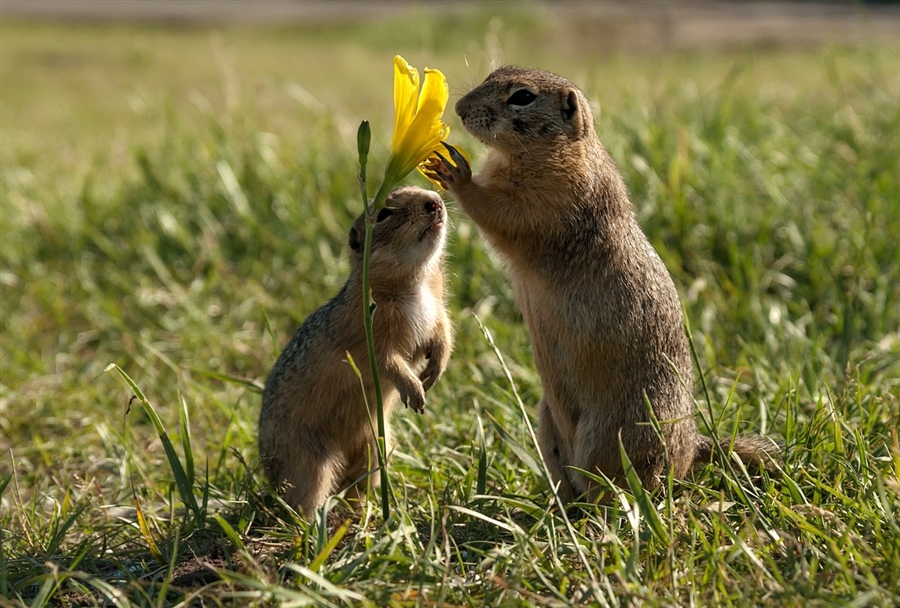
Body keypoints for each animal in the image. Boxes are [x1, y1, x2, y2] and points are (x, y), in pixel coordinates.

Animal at [260, 186, 454, 516]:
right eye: (383, 214)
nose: (434, 201)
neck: (415, 282)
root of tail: (268, 474)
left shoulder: (437, 310)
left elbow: (443, 335)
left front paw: (435, 371)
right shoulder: (370, 335)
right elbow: (388, 362)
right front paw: (415, 391)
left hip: (376, 448)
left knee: (356, 486)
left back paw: (363, 512)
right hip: (310, 461)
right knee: (302, 499)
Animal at [426, 66, 776, 504]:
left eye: (522, 97)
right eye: (493, 73)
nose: (459, 108)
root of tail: (693, 447)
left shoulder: (552, 198)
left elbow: (501, 214)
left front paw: (456, 173)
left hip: (610, 436)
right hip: (547, 422)